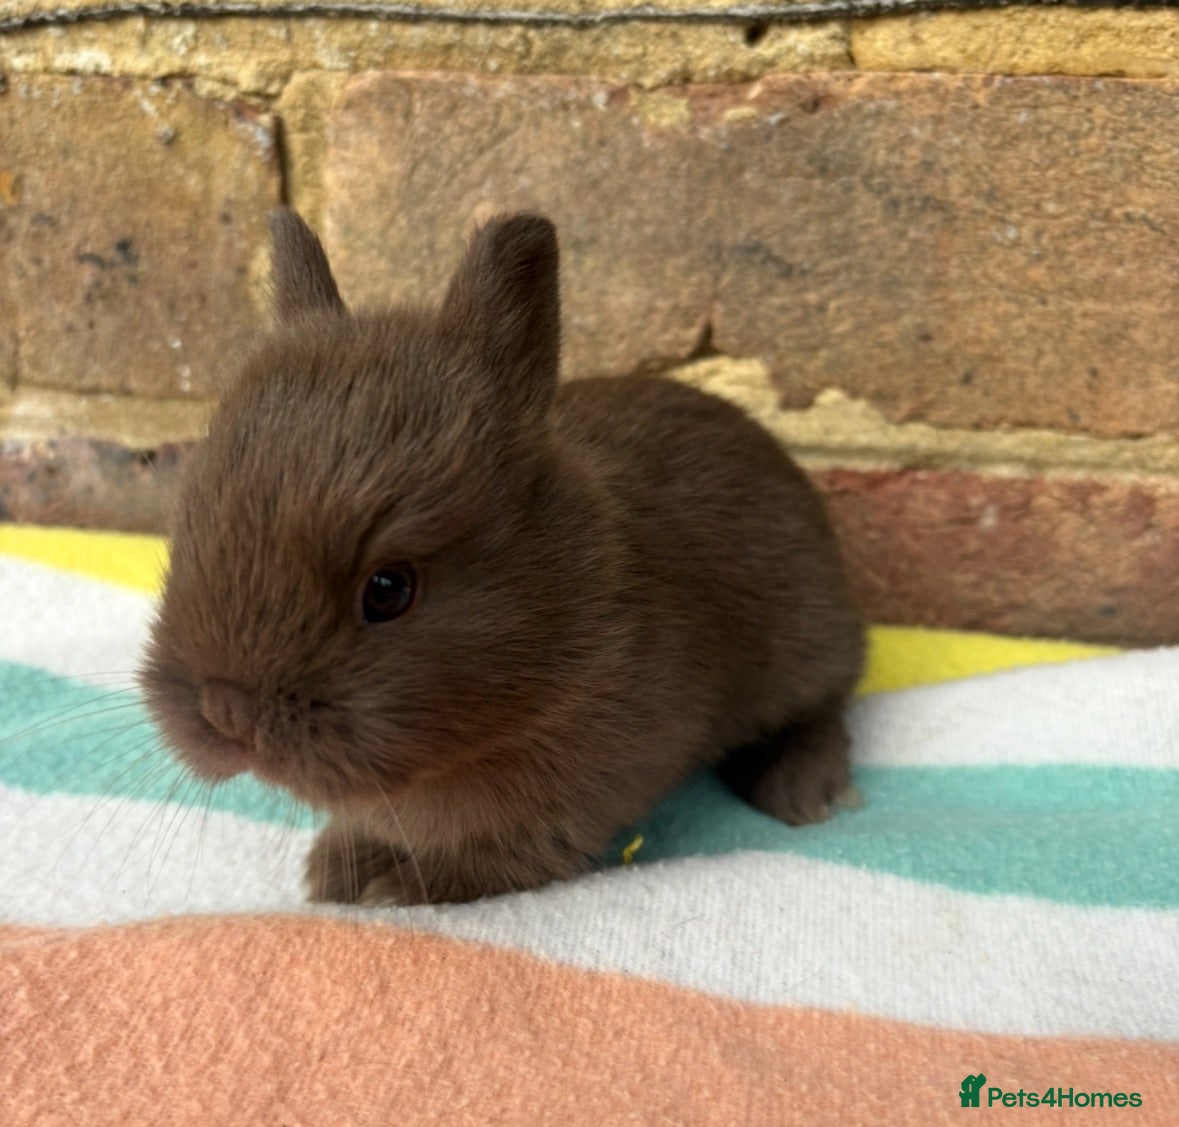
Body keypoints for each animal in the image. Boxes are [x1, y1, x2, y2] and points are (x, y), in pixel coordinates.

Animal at [139, 207, 865, 906]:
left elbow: (510, 857)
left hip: (806, 641)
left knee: (829, 700)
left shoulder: (570, 802)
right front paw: (335, 868)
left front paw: (395, 887)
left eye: (388, 589)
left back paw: (803, 791)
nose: (227, 714)